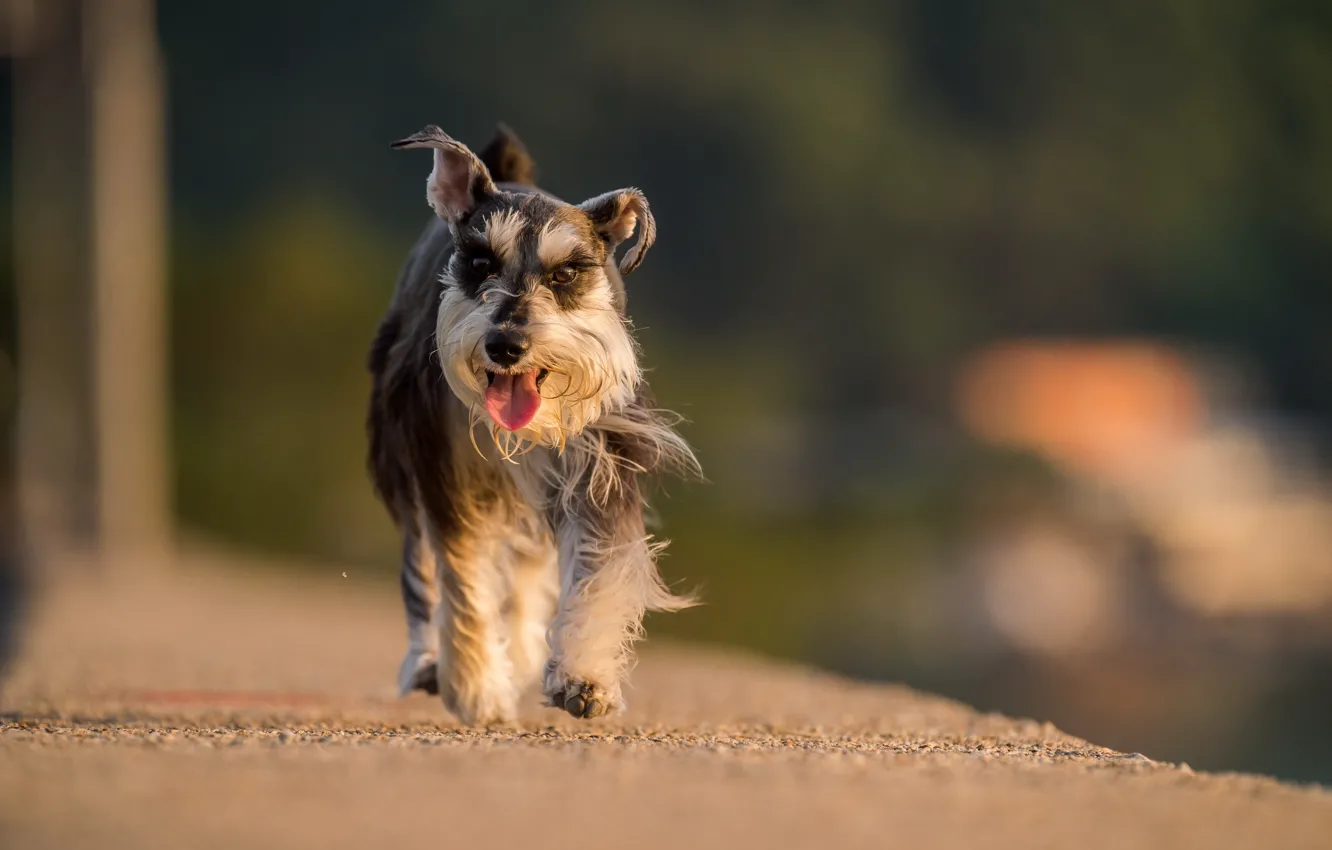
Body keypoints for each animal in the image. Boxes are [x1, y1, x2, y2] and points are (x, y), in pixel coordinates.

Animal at [364, 126, 697, 724]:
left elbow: (597, 569)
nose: (506, 344)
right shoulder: (442, 474)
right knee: (422, 568)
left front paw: (583, 677)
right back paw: (431, 662)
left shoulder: (599, 464)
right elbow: (461, 575)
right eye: (479, 262)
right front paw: (476, 689)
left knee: (524, 572)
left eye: (565, 273)